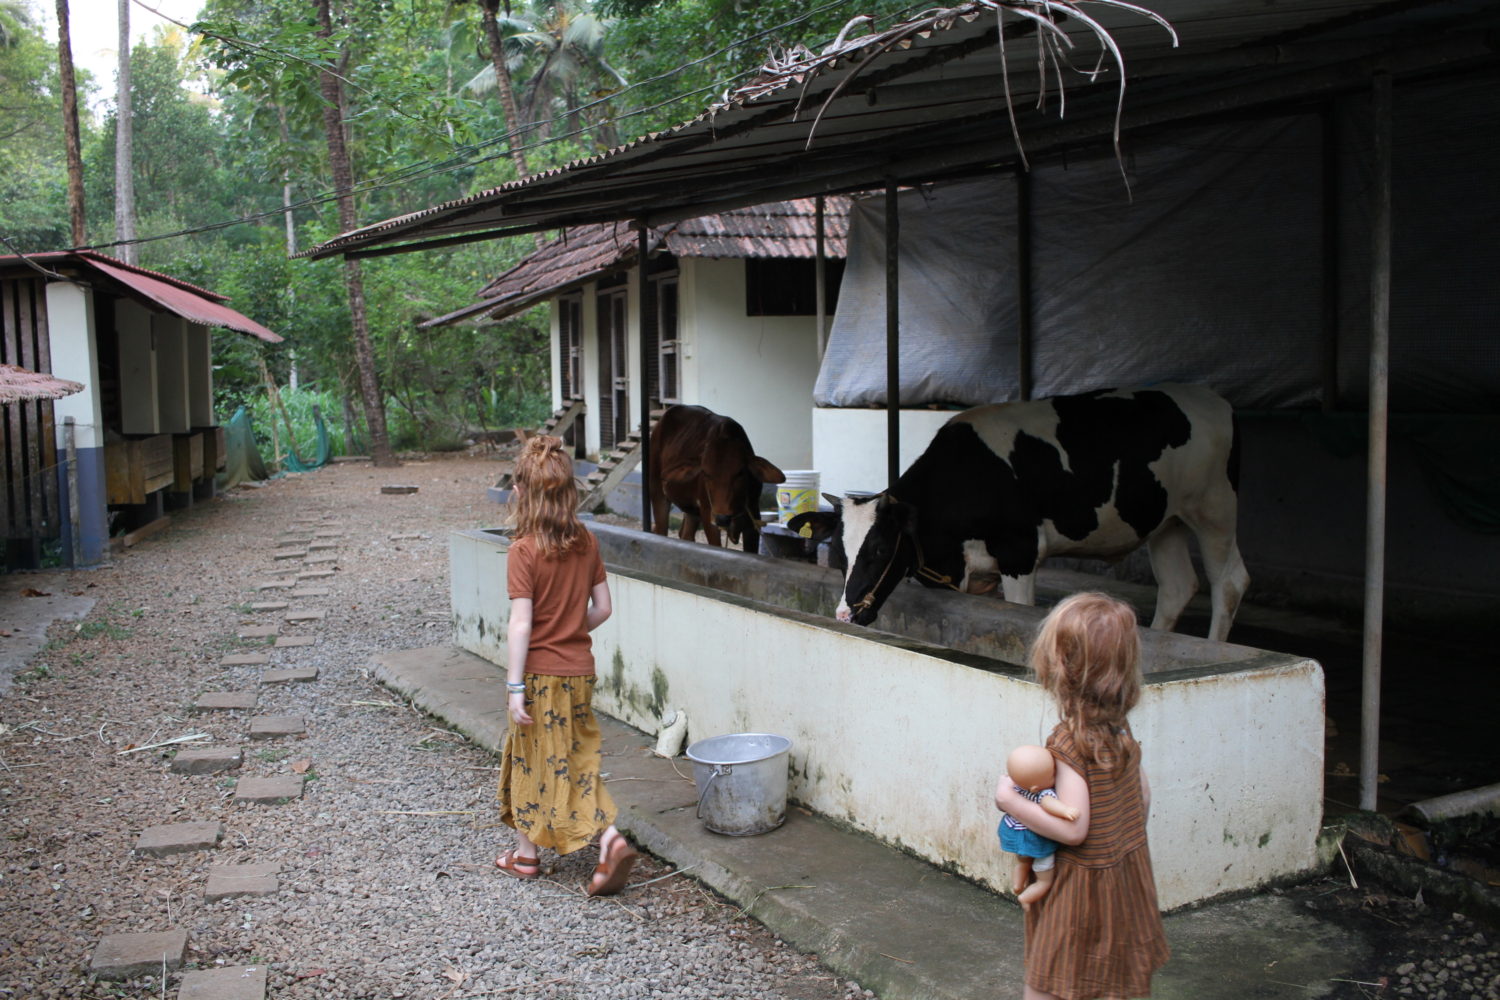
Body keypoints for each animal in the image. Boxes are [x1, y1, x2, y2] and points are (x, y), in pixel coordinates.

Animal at [648, 404, 786, 554]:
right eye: (705, 473)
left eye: (740, 472)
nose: (722, 518)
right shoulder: (709, 516)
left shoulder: (753, 519)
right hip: (657, 492)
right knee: (661, 530)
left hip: (691, 510)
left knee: (686, 535)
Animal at [792, 383, 1248, 641]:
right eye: (838, 556)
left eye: (880, 550)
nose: (846, 613)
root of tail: (1215, 401)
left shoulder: (1019, 553)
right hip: (1165, 521)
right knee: (1177, 587)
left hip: (1214, 509)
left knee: (1229, 581)